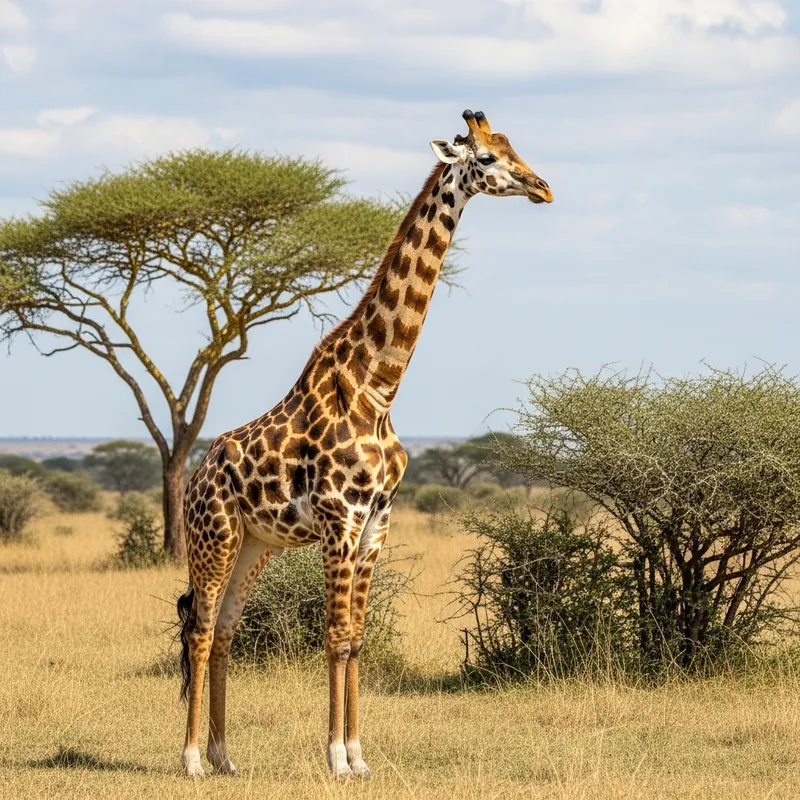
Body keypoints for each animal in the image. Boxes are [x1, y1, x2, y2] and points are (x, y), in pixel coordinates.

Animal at [177, 109, 553, 779]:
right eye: (486, 158)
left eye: (514, 147)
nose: (543, 187)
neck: (378, 386)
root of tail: (194, 477)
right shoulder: (341, 520)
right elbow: (334, 637)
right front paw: (335, 757)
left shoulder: (379, 521)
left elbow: (356, 639)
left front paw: (358, 756)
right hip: (212, 535)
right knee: (197, 629)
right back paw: (192, 759)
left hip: (255, 544)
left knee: (223, 631)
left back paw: (224, 757)